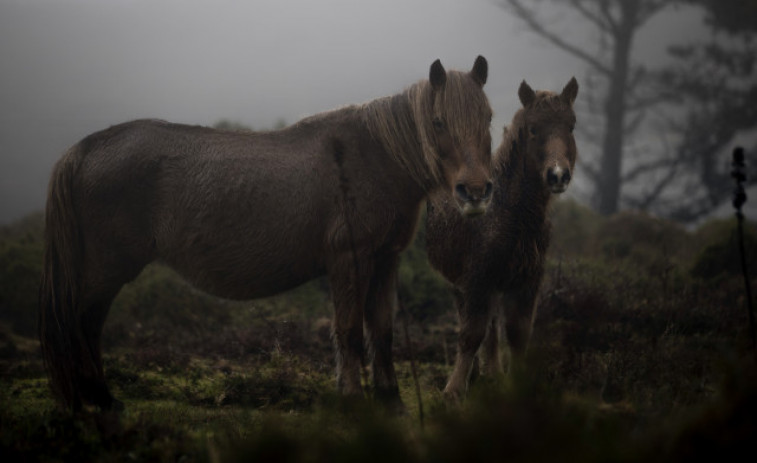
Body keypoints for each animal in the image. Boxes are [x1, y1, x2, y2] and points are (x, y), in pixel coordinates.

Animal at [39, 56, 496, 412]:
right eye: (438, 121)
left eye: (489, 117)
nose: (475, 191)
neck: (373, 156)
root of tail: (85, 149)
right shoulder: (349, 260)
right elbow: (348, 331)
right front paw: (351, 399)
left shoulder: (385, 260)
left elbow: (380, 332)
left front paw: (392, 402)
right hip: (104, 272)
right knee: (83, 324)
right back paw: (100, 399)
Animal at [426, 78, 580, 400]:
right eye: (533, 128)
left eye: (571, 126)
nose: (558, 175)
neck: (511, 214)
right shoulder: (477, 279)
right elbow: (471, 334)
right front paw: (453, 391)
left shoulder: (526, 282)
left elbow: (517, 333)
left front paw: (514, 383)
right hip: (460, 283)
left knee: (493, 325)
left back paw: (492, 373)